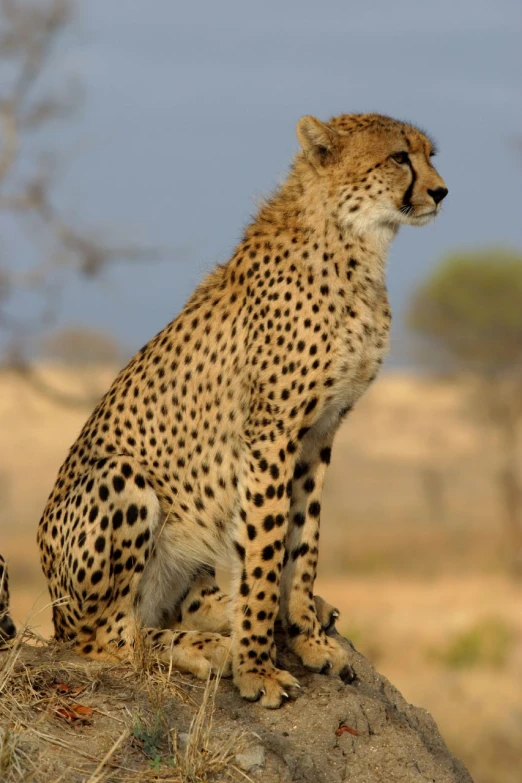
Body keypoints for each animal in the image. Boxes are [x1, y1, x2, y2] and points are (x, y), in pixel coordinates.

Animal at [36, 113, 444, 708]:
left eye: (430, 154)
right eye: (398, 157)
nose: (441, 191)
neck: (355, 242)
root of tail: (52, 603)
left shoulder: (318, 434)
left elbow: (302, 542)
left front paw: (307, 636)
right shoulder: (271, 433)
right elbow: (267, 549)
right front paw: (257, 669)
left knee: (166, 609)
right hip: (120, 480)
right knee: (111, 638)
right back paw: (209, 649)